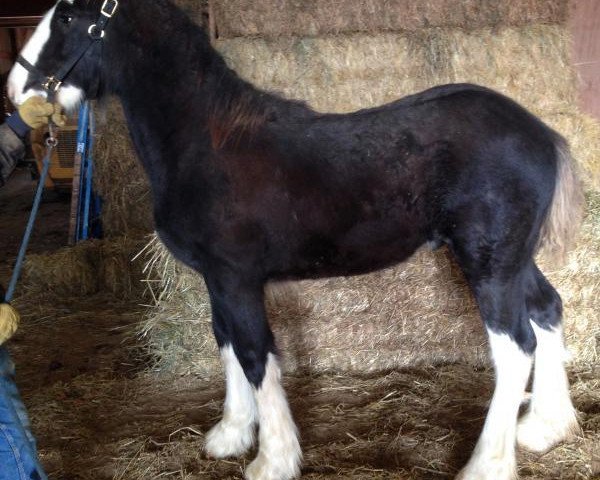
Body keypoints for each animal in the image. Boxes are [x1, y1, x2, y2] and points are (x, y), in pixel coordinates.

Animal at [7, 1, 584, 478]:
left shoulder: (237, 278)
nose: (17, 90)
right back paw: (544, 428)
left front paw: (273, 459)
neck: (206, 142)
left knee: (516, 347)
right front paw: (231, 435)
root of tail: (541, 133)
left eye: (68, 17)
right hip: (512, 262)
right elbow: (226, 342)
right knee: (547, 310)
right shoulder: (218, 280)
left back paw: (487, 464)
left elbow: (255, 353)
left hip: (488, 265)